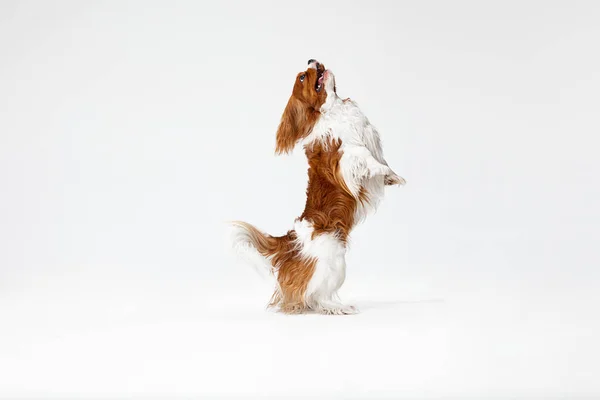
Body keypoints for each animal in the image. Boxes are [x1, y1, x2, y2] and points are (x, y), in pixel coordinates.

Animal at [229, 60, 404, 316]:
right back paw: (339, 307)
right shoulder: (343, 157)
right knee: (314, 296)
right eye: (303, 77)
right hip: (332, 260)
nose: (312, 59)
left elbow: (381, 162)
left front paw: (392, 176)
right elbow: (366, 157)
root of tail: (290, 240)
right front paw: (386, 171)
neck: (335, 110)